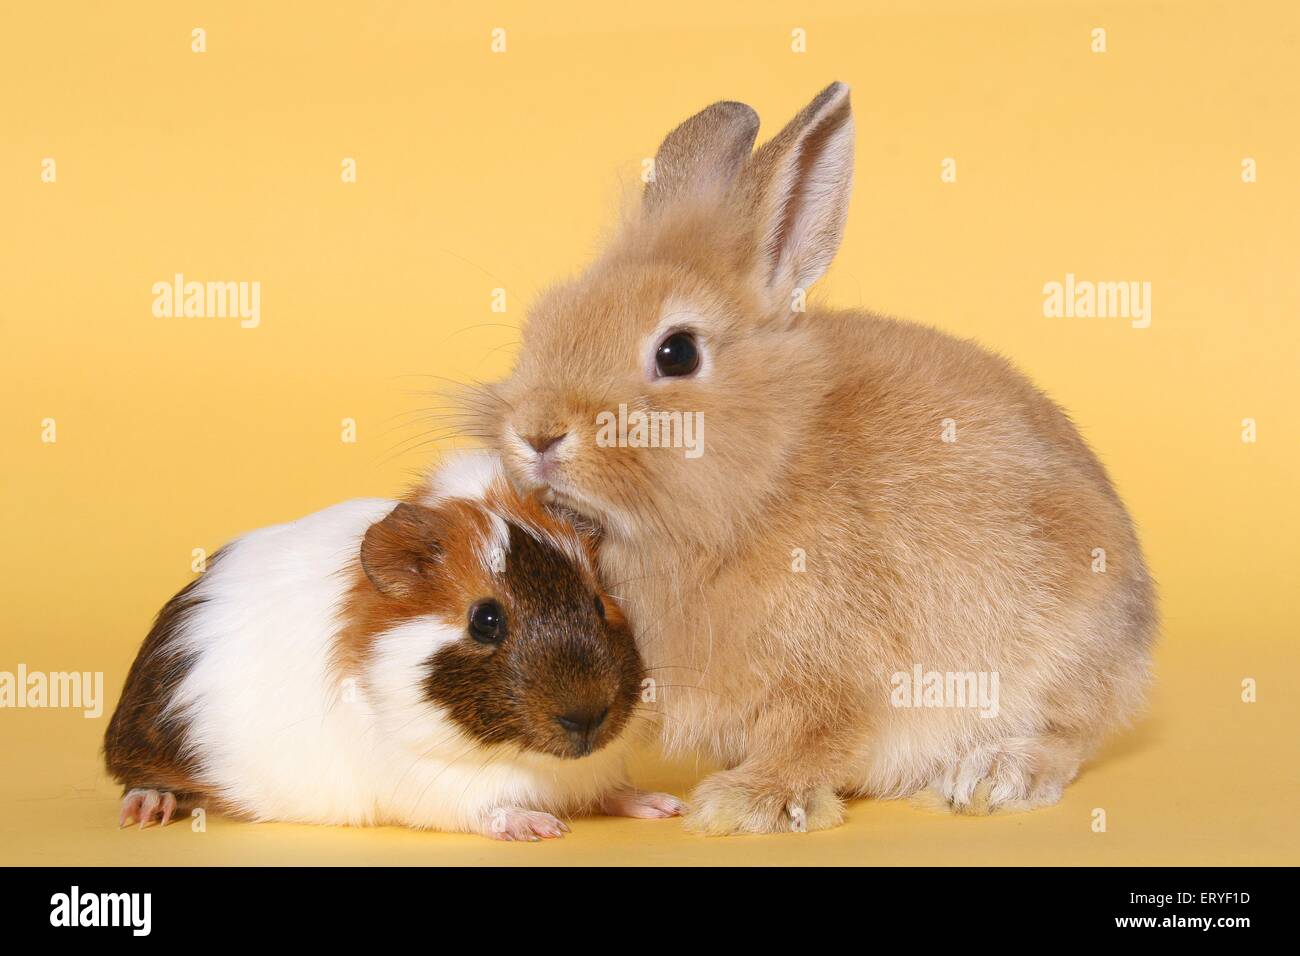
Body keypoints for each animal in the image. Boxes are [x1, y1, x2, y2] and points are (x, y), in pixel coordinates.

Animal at [450, 82, 1157, 834]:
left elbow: (813, 739)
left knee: (1069, 735)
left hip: (1064, 651)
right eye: (543, 323)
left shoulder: (834, 673)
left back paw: (994, 776)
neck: (761, 482)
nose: (536, 433)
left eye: (677, 352)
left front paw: (745, 804)